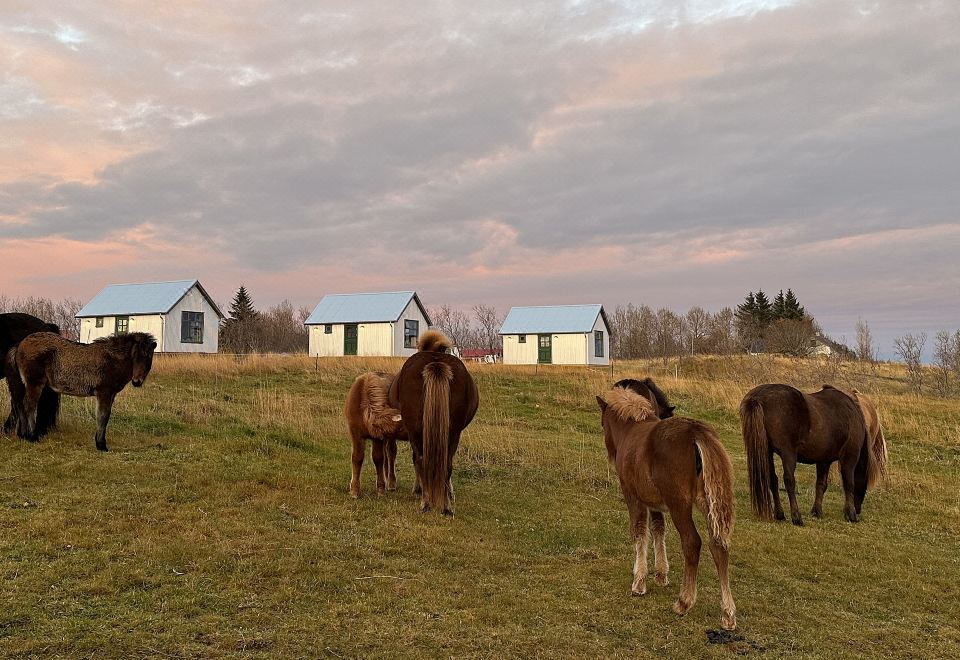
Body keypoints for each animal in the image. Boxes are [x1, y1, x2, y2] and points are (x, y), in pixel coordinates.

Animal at [388, 330, 478, 516]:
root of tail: (436, 363)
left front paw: (419, 489)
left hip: (416, 431)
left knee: (421, 460)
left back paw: (426, 502)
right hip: (453, 432)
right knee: (446, 463)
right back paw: (446, 507)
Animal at [596, 384, 740, 632]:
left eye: (604, 423)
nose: (610, 454)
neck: (631, 430)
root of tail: (696, 432)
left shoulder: (633, 497)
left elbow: (639, 531)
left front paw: (639, 581)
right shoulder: (653, 502)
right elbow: (658, 529)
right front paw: (661, 575)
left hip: (679, 505)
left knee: (692, 542)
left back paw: (684, 602)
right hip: (709, 503)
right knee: (719, 546)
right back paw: (728, 613)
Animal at [740, 384, 880, 524]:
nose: (858, 510)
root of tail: (757, 398)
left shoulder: (824, 460)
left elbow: (821, 485)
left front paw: (817, 511)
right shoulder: (850, 457)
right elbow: (849, 484)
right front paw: (850, 514)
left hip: (767, 451)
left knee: (773, 479)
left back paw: (780, 514)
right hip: (788, 453)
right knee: (789, 480)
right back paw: (796, 517)